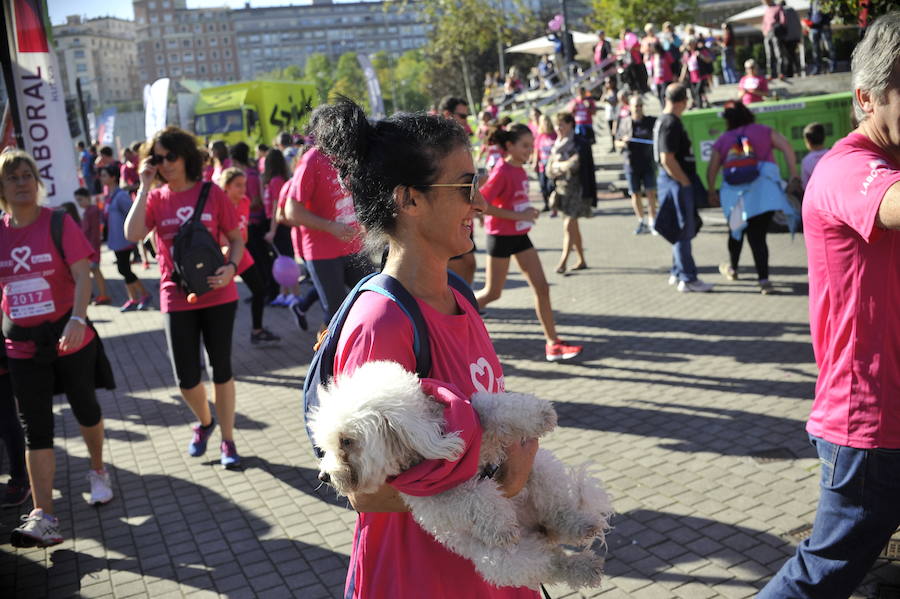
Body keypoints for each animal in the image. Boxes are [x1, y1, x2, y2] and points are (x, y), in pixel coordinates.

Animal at [308, 360, 612, 592]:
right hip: (505, 560)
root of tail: (539, 530)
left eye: (346, 441)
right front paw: (500, 523)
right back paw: (582, 566)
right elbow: (472, 497)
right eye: (331, 445)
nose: (324, 476)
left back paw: (581, 525)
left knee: (560, 512)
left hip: (542, 471)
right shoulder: (433, 502)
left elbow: (488, 406)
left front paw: (539, 414)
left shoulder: (475, 422)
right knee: (551, 562)